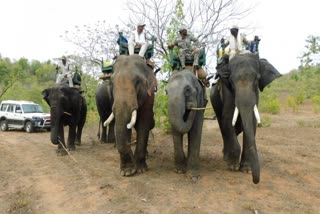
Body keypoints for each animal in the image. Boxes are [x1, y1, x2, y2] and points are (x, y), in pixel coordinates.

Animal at [211, 53, 282, 184]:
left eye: (257, 79)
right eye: (231, 81)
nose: (255, 181)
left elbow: (252, 122)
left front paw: (246, 170)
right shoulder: (227, 92)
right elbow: (228, 120)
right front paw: (233, 167)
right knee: (222, 124)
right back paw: (225, 157)